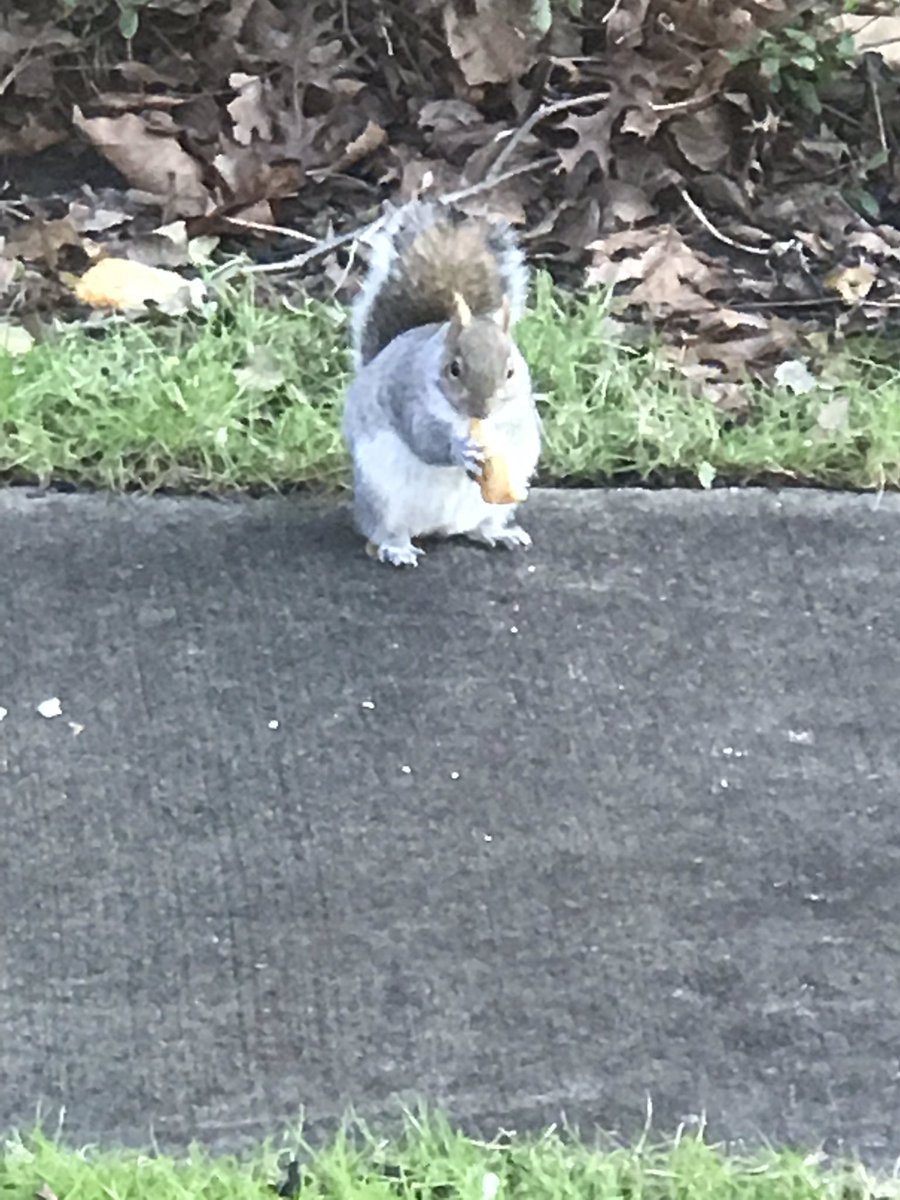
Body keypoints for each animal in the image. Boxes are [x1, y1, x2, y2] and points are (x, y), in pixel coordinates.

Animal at [342, 199, 542, 567]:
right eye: (454, 369)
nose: (483, 410)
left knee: (480, 527)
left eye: (511, 372)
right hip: (382, 496)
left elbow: (517, 430)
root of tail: (441, 527)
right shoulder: (408, 398)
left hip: (493, 507)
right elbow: (425, 439)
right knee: (385, 528)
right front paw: (460, 450)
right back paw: (396, 548)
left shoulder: (520, 411)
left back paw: (498, 533)